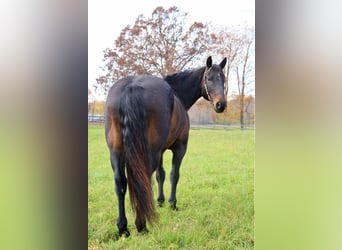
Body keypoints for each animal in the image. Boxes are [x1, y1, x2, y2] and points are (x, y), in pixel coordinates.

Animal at [104, 55, 227, 237]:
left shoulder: (160, 151)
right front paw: (172, 203)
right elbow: (173, 175)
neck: (177, 95)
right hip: (148, 153)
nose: (221, 104)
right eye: (208, 78)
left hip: (116, 152)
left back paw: (123, 228)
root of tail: (131, 87)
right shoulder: (179, 148)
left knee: (121, 182)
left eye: (223, 79)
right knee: (141, 180)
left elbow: (160, 175)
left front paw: (160, 201)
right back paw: (142, 225)